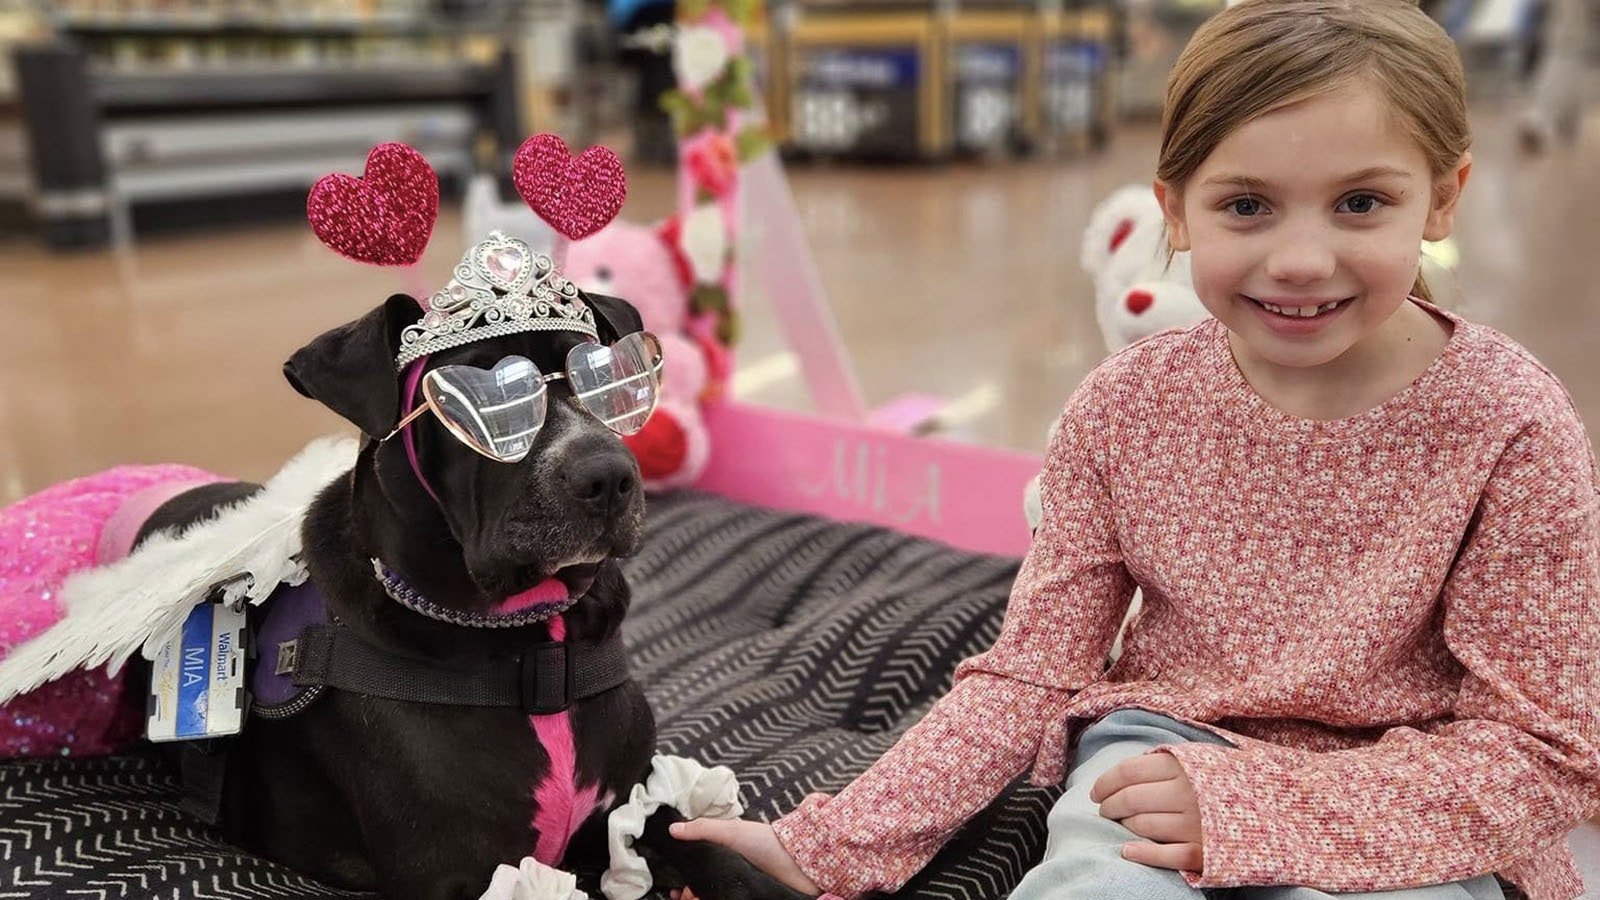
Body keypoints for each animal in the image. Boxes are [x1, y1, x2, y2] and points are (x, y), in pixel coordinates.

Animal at [129, 288, 806, 896]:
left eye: (609, 379)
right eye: (484, 402)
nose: (610, 475)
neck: (537, 646)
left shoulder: (630, 800)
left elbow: (700, 841)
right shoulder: (460, 873)